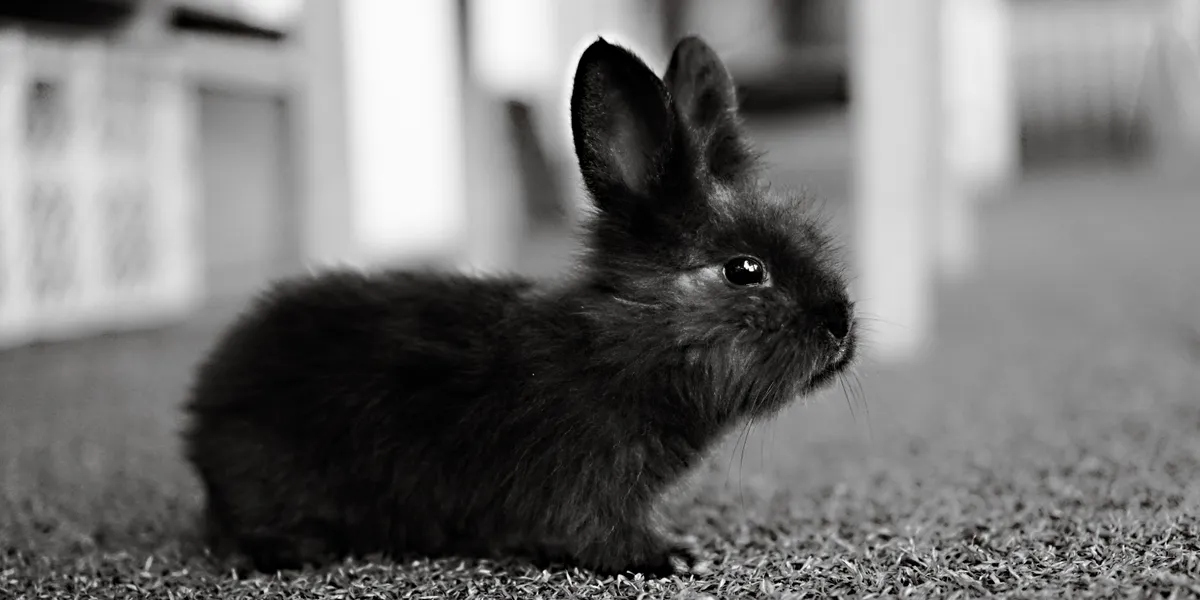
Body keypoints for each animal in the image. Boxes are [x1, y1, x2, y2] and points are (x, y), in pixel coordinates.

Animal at [182, 35, 858, 578]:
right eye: (745, 270)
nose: (841, 326)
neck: (620, 345)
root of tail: (205, 406)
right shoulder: (585, 479)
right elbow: (597, 532)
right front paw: (669, 555)